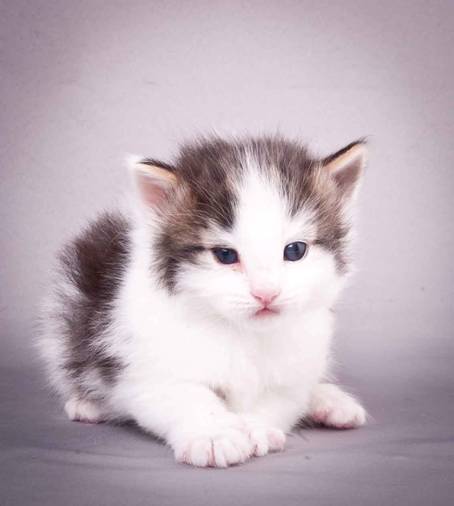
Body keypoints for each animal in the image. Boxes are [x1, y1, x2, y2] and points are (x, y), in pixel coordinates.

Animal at [38, 135, 367, 468]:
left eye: (295, 250)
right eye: (225, 255)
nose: (266, 294)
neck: (242, 332)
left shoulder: (299, 363)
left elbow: (278, 399)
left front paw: (255, 426)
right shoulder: (142, 363)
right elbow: (184, 395)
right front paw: (213, 435)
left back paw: (331, 402)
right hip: (68, 317)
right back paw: (87, 404)